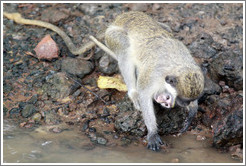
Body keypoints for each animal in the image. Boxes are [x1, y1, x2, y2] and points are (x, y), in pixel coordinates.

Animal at [3, 10, 204, 150]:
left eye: (186, 100)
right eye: (176, 99)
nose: (172, 105)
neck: (176, 67)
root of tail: (118, 19)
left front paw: (192, 113)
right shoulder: (153, 76)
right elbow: (145, 95)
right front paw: (153, 131)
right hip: (113, 37)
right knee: (125, 50)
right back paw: (132, 92)